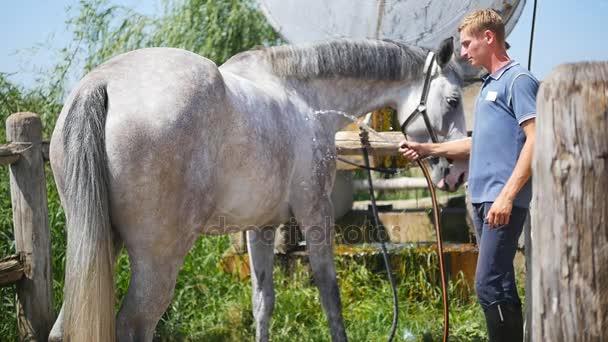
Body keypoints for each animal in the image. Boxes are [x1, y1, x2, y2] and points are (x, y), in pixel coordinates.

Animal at [48, 38, 466, 340]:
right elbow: (330, 297)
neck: (305, 98)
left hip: (100, 245)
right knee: (134, 326)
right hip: (158, 260)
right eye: (453, 100)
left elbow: (262, 303)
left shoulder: (260, 227)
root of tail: (102, 84)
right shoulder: (316, 215)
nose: (456, 172)